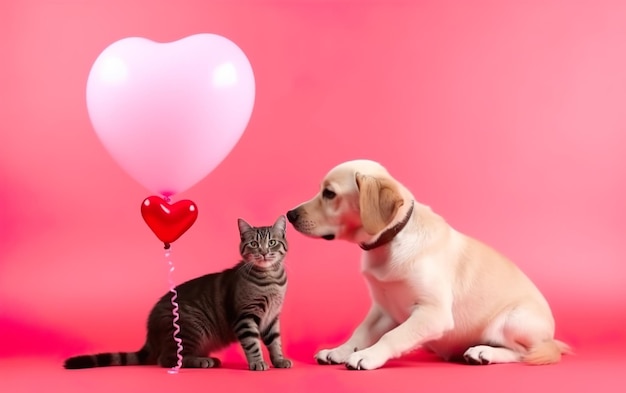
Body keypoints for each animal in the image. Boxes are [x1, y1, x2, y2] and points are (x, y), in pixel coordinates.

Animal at [62, 216, 292, 370]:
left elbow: (275, 342)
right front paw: (258, 362)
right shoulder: (245, 317)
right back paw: (202, 361)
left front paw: (279, 360)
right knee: (168, 359)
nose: (264, 252)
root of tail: (150, 332)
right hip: (192, 327)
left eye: (272, 242)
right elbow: (253, 343)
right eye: (254, 244)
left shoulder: (272, 318)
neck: (271, 280)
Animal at [286, 158, 568, 370]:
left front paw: (368, 355)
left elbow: (393, 335)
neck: (391, 239)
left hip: (514, 320)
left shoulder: (433, 313)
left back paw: (484, 352)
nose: (290, 214)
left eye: (329, 194)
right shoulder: (383, 309)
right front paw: (341, 350)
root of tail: (552, 338)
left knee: (524, 353)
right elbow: (361, 332)